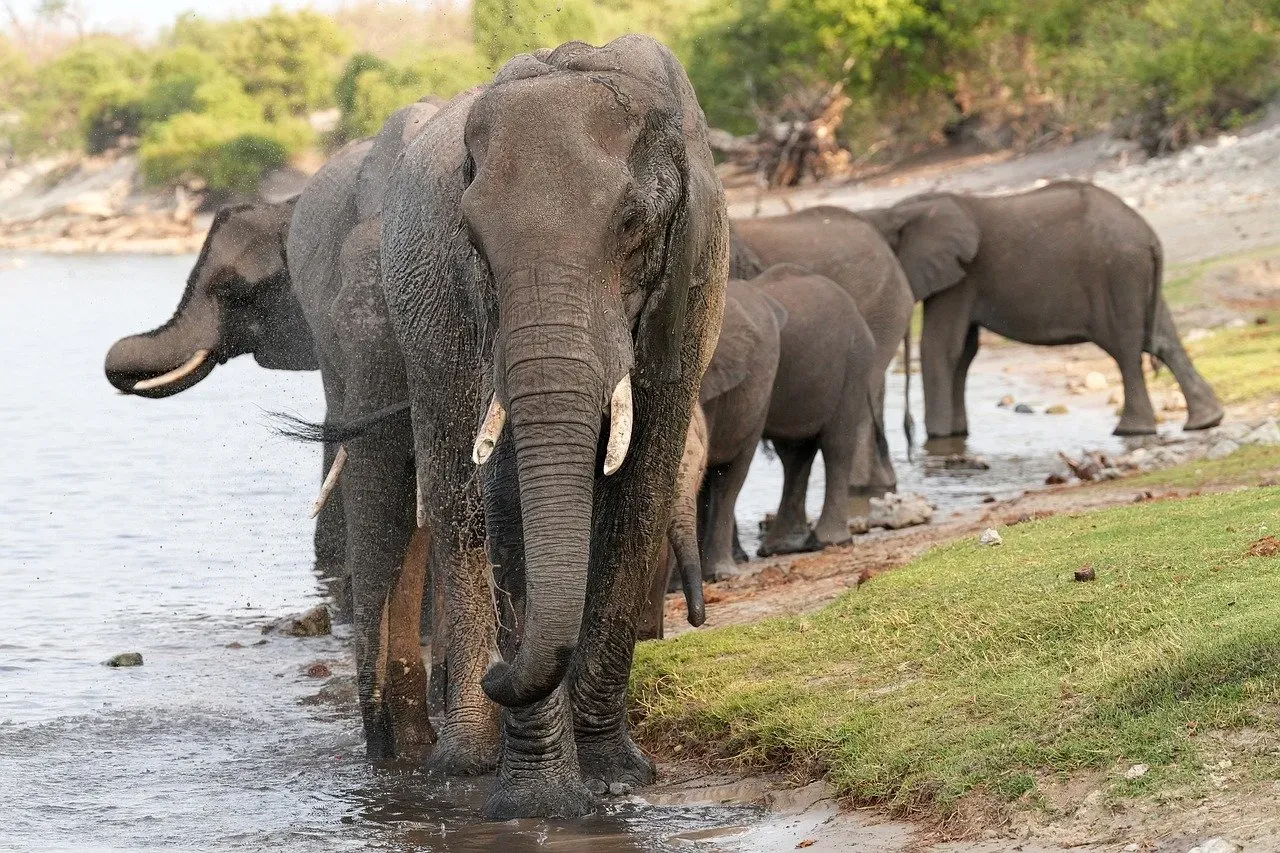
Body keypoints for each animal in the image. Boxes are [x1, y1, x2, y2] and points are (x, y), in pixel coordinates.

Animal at [377, 36, 727, 819]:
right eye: (473, 243)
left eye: (631, 227)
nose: (500, 673)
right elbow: (505, 497)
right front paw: (539, 806)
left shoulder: (688, 293)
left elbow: (641, 490)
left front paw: (613, 778)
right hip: (423, 338)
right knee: (457, 503)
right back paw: (465, 762)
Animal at [861, 181, 1224, 439]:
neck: (899, 210)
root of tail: (1151, 236)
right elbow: (964, 352)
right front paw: (956, 435)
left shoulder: (961, 277)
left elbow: (939, 348)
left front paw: (938, 439)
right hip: (1136, 276)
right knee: (1164, 341)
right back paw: (1205, 422)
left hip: (1118, 272)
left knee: (1126, 348)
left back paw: (1132, 431)